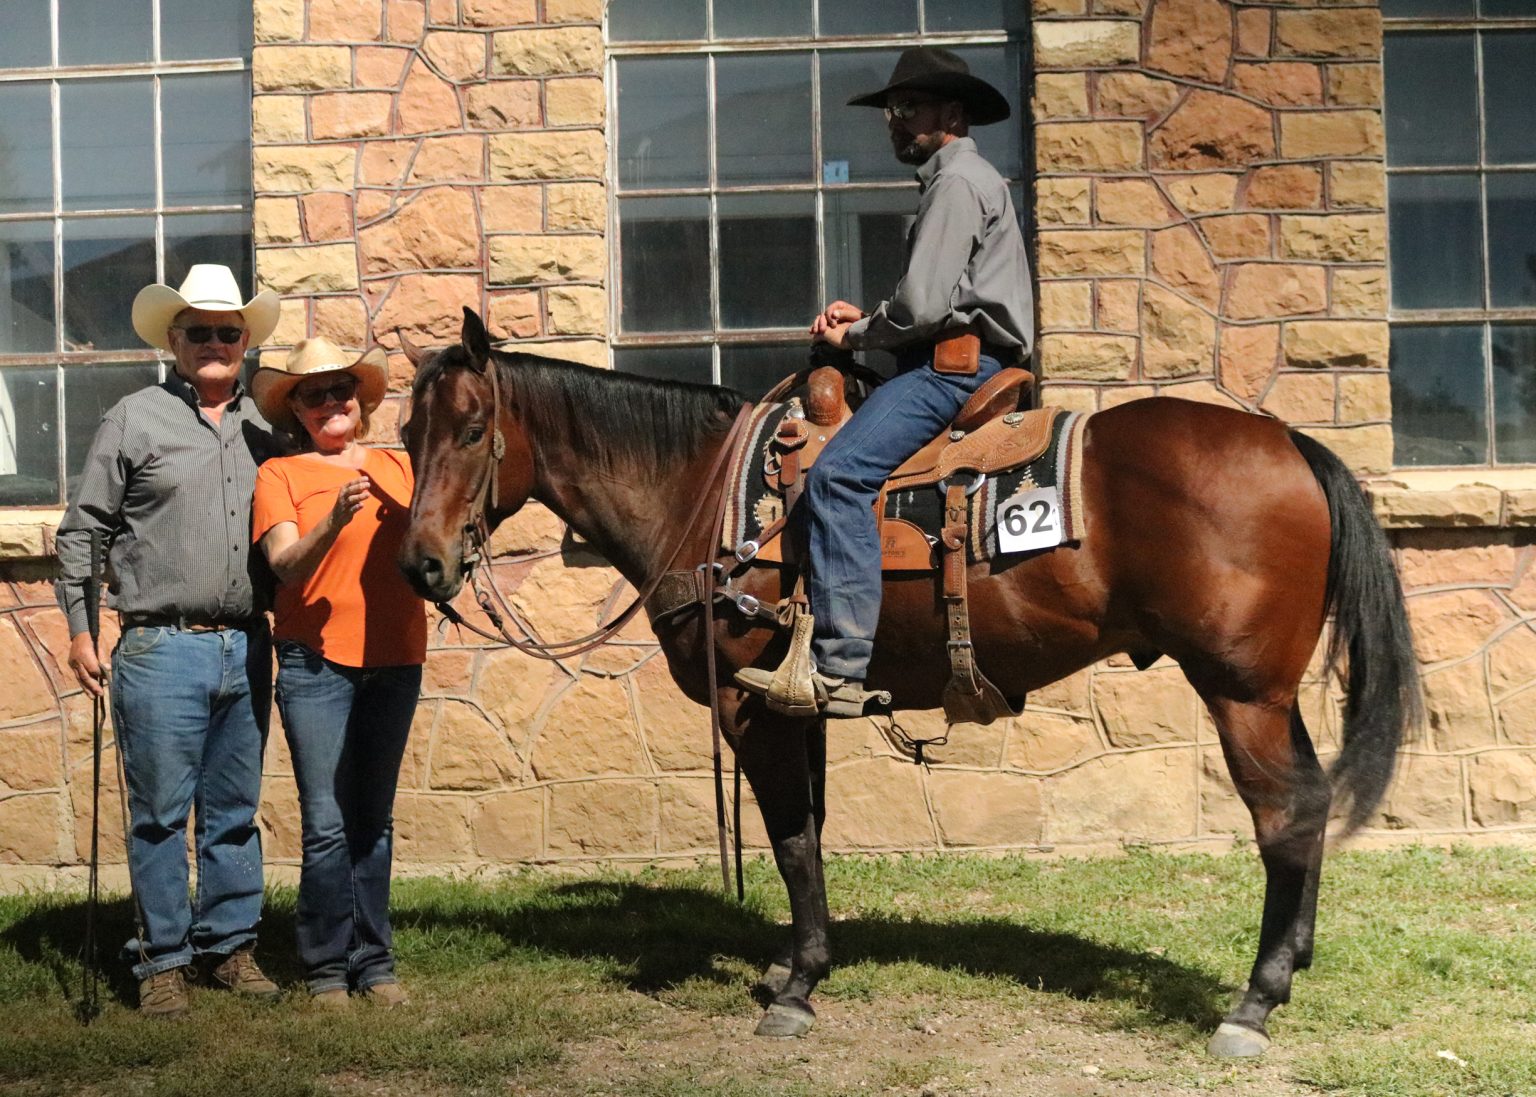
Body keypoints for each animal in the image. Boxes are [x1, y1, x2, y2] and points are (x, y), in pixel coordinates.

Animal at [397, 308, 1420, 1058]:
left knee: (1282, 814)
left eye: (475, 428)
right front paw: (793, 964)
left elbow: (792, 842)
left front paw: (798, 985)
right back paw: (1293, 963)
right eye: (407, 430)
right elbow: (806, 834)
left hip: (1241, 690)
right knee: (1310, 802)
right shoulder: (797, 704)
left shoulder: (752, 706)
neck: (704, 490)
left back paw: (1253, 1002)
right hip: (1268, 694)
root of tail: (1290, 445)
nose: (423, 565)